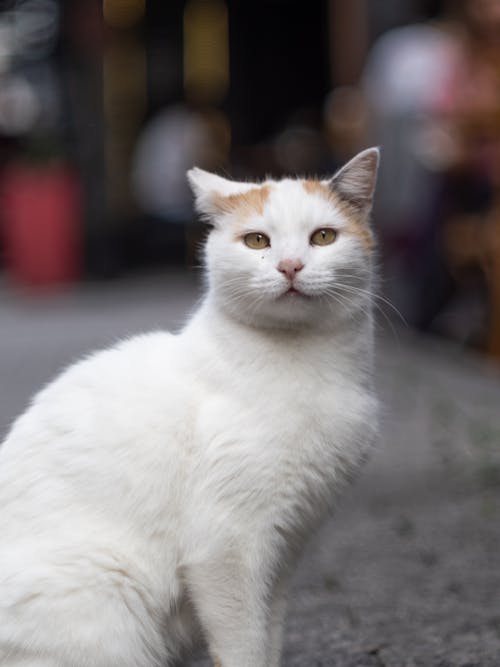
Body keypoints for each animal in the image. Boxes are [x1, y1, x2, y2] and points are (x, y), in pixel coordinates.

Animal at [0, 147, 378, 667]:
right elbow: (243, 646)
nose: (290, 266)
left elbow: (269, 638)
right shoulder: (227, 547)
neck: (308, 364)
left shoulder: (283, 554)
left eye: (323, 237)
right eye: (257, 240)